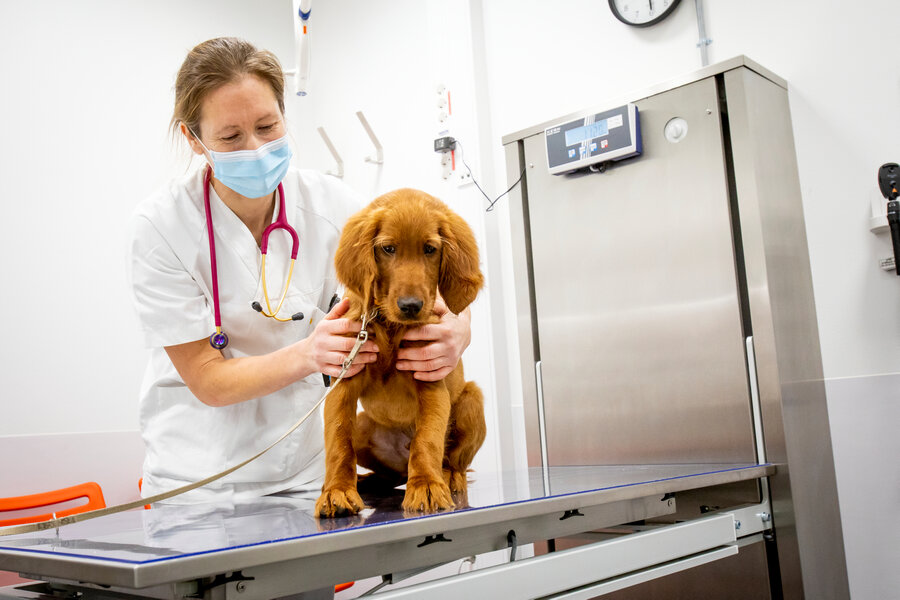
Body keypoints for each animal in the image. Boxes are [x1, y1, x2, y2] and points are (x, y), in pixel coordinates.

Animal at [314, 189, 486, 516]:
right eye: (388, 248)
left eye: (430, 249)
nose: (411, 306)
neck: (390, 328)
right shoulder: (344, 380)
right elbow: (338, 441)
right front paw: (337, 491)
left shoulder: (429, 379)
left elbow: (427, 440)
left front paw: (427, 486)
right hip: (364, 426)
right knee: (390, 475)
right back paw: (366, 481)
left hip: (472, 399)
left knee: (450, 460)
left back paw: (447, 476)